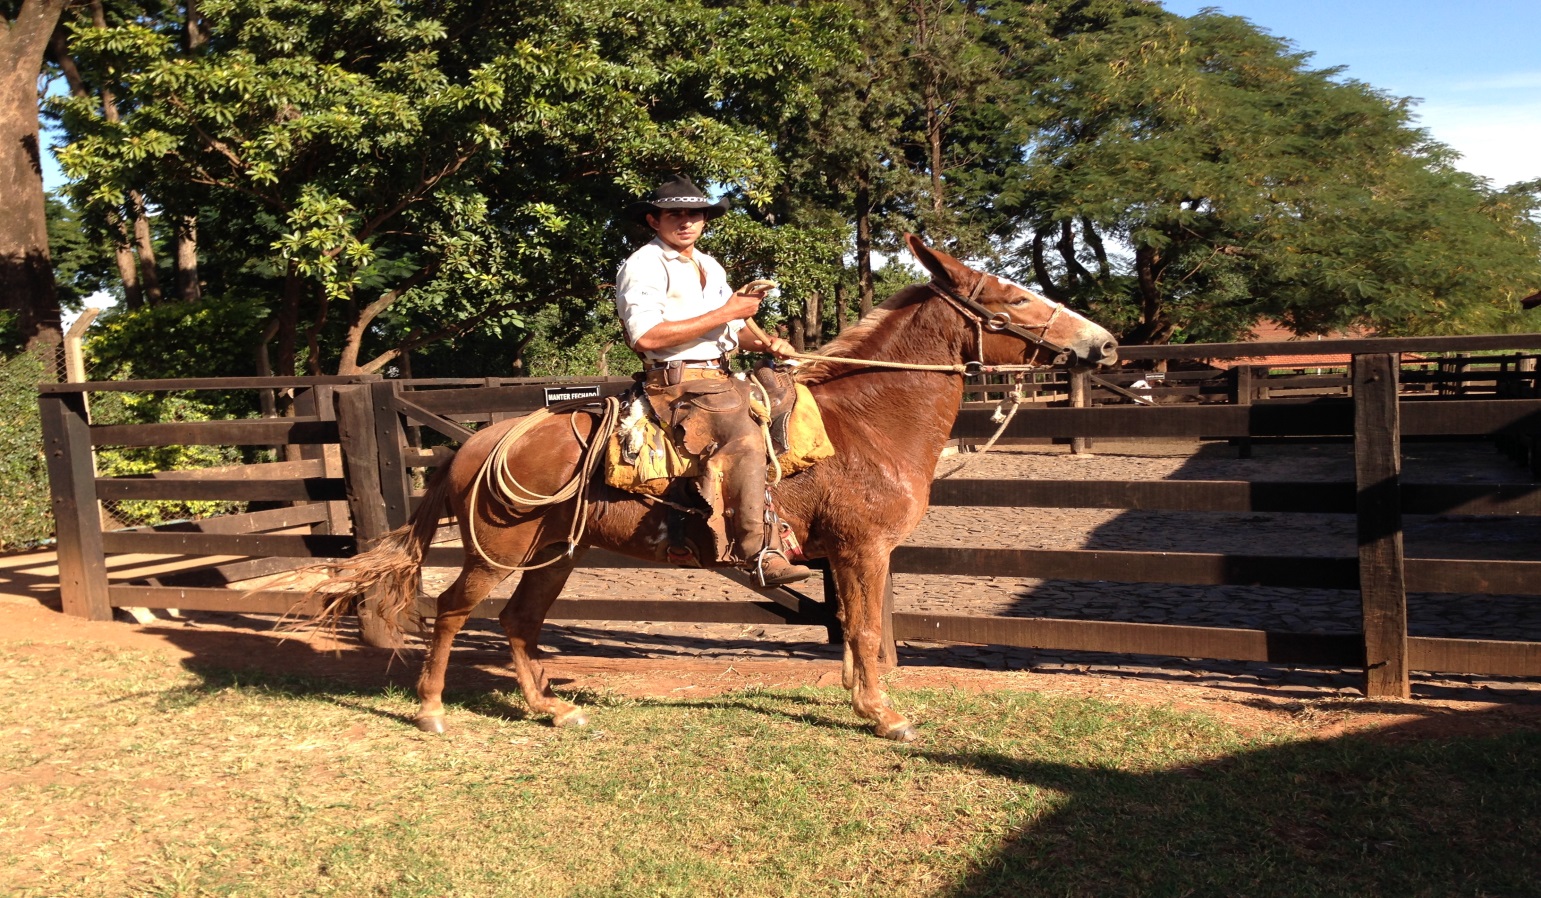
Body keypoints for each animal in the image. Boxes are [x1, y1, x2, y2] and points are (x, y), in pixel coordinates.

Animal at [319, 234, 1118, 742]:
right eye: (1013, 299)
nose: (1103, 342)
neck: (866, 425)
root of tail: (480, 442)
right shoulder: (864, 551)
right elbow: (864, 629)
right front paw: (885, 716)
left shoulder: (847, 557)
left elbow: (850, 630)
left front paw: (861, 703)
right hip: (497, 551)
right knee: (454, 611)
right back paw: (430, 711)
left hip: (556, 555)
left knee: (518, 622)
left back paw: (550, 710)